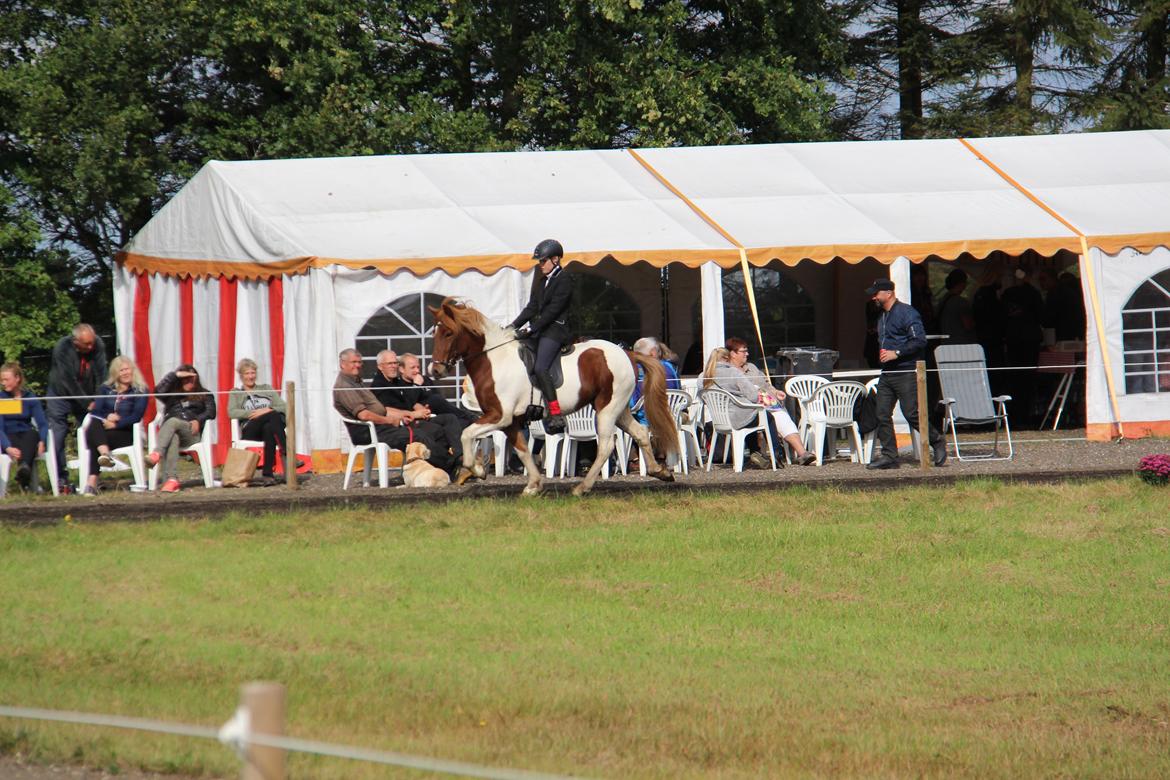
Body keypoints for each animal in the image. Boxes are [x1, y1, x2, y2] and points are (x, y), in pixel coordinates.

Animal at [428, 295, 678, 498]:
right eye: (434, 334)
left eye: (448, 333)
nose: (435, 370)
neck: (495, 360)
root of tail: (627, 353)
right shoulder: (510, 421)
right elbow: (523, 450)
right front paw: (533, 485)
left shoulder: (499, 416)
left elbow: (466, 433)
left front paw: (477, 469)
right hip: (618, 408)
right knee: (641, 432)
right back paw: (659, 471)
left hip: (606, 409)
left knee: (606, 446)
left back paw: (582, 487)